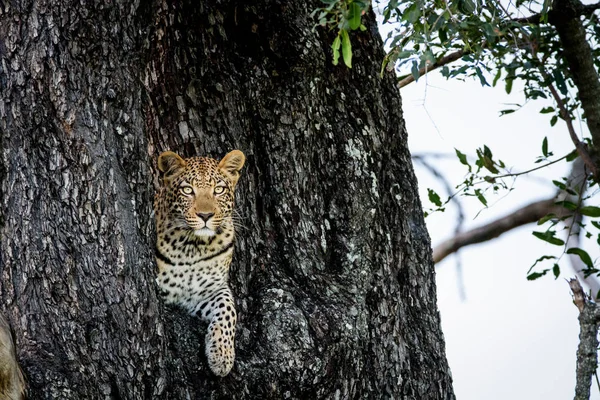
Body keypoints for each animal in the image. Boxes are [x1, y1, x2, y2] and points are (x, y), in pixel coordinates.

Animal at [156, 148, 247, 376]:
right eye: (188, 190)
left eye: (219, 189)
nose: (205, 215)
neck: (193, 247)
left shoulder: (208, 291)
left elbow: (229, 309)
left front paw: (222, 355)